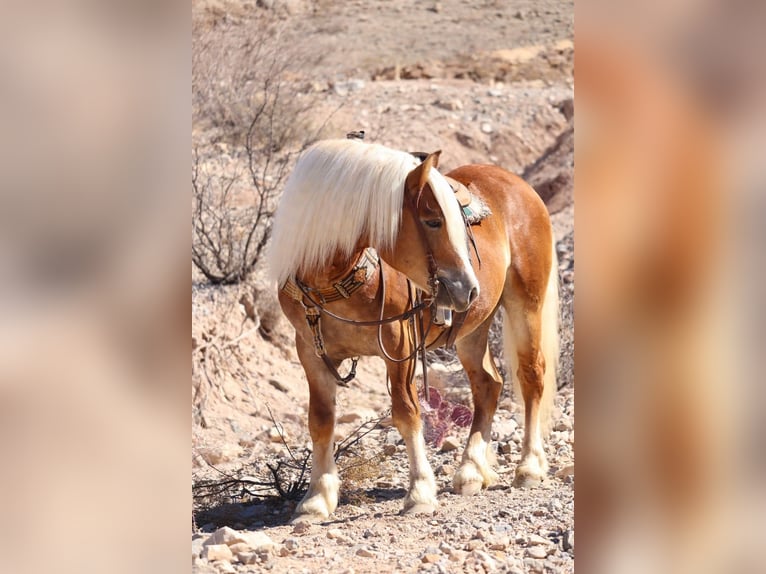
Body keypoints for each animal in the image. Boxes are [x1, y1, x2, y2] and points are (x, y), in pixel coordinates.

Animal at [268, 140, 560, 520]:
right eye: (432, 221)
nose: (468, 287)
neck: (334, 282)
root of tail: (520, 185)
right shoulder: (310, 352)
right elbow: (320, 421)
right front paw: (316, 499)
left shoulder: (399, 346)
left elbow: (406, 413)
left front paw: (420, 492)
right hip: (472, 329)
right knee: (487, 385)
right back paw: (470, 470)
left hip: (526, 306)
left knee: (531, 376)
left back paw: (529, 467)